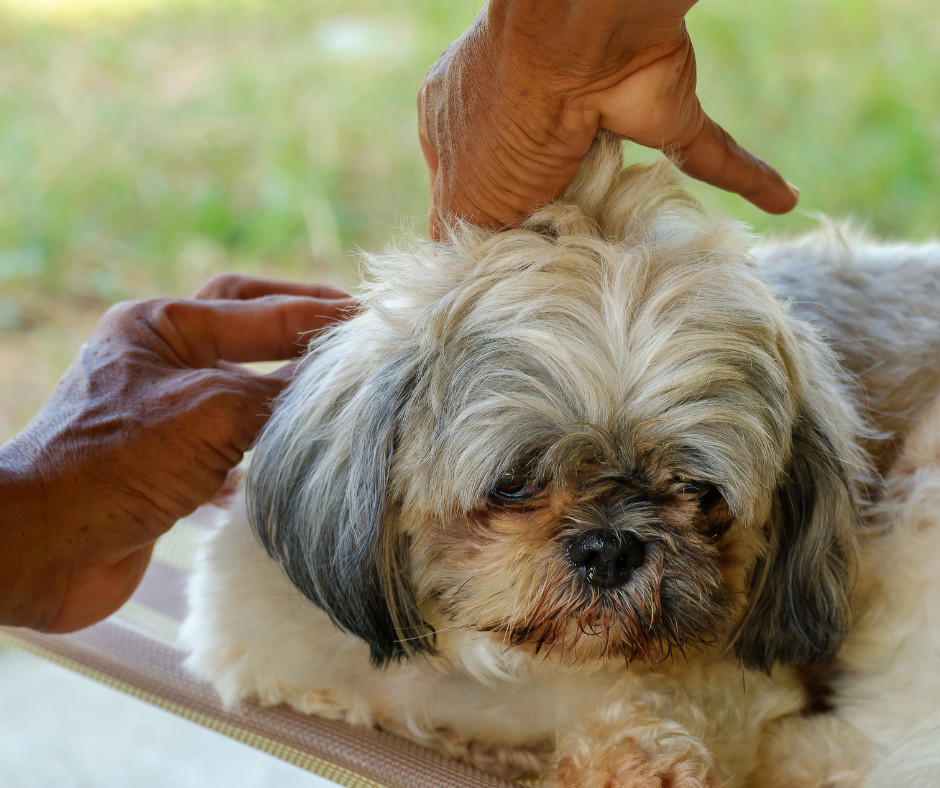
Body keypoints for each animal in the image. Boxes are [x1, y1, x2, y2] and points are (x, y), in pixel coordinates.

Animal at [182, 135, 940, 788]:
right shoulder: (268, 643)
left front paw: (628, 764)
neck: (509, 665)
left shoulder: (736, 683)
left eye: (698, 492)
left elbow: (660, 703)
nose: (610, 547)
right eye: (514, 482)